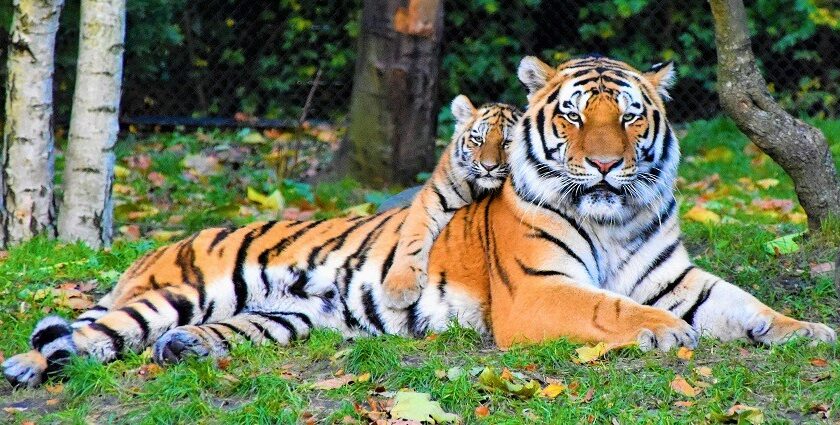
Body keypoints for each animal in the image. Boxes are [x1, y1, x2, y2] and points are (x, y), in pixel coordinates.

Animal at [4, 55, 832, 388]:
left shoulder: (676, 275)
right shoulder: (539, 290)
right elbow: (611, 306)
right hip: (173, 292)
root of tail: (164, 246)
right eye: (573, 115)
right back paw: (25, 368)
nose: (602, 164)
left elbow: (745, 303)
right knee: (85, 334)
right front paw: (664, 331)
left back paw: (183, 350)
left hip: (282, 317)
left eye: (629, 117)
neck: (615, 217)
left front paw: (810, 330)